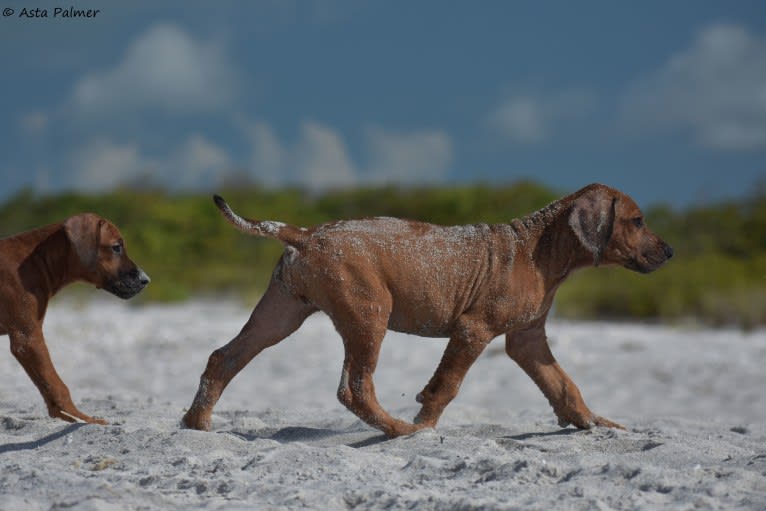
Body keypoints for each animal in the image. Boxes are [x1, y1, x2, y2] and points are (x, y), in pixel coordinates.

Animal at [0, 214, 149, 426]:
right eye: (116, 247)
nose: (146, 280)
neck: (37, 260)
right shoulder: (27, 338)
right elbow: (56, 385)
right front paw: (83, 418)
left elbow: (49, 387)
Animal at [184, 186, 672, 438]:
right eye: (637, 221)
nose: (670, 252)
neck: (540, 249)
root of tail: (305, 233)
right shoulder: (474, 331)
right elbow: (446, 386)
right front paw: (426, 426)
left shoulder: (527, 340)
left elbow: (564, 385)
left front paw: (593, 421)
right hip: (369, 316)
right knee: (354, 388)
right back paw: (401, 430)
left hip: (280, 314)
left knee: (222, 359)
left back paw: (196, 423)